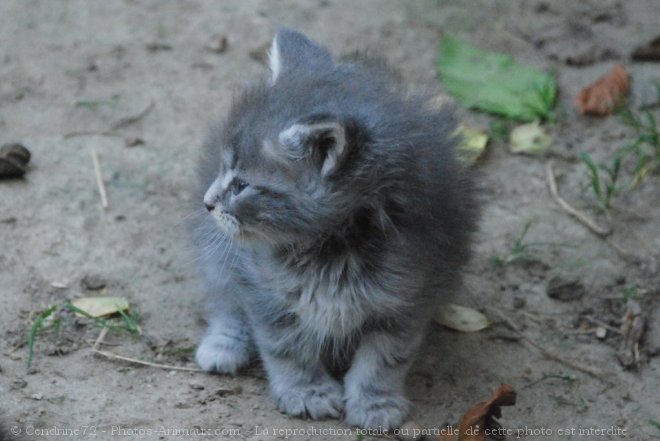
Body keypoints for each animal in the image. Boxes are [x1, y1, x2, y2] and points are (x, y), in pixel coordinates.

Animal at [192, 29, 480, 428]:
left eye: (242, 185)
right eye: (223, 170)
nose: (207, 202)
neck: (331, 249)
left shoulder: (410, 293)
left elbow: (385, 357)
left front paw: (375, 402)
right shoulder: (263, 288)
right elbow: (287, 346)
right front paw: (307, 392)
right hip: (219, 256)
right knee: (223, 298)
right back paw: (224, 345)